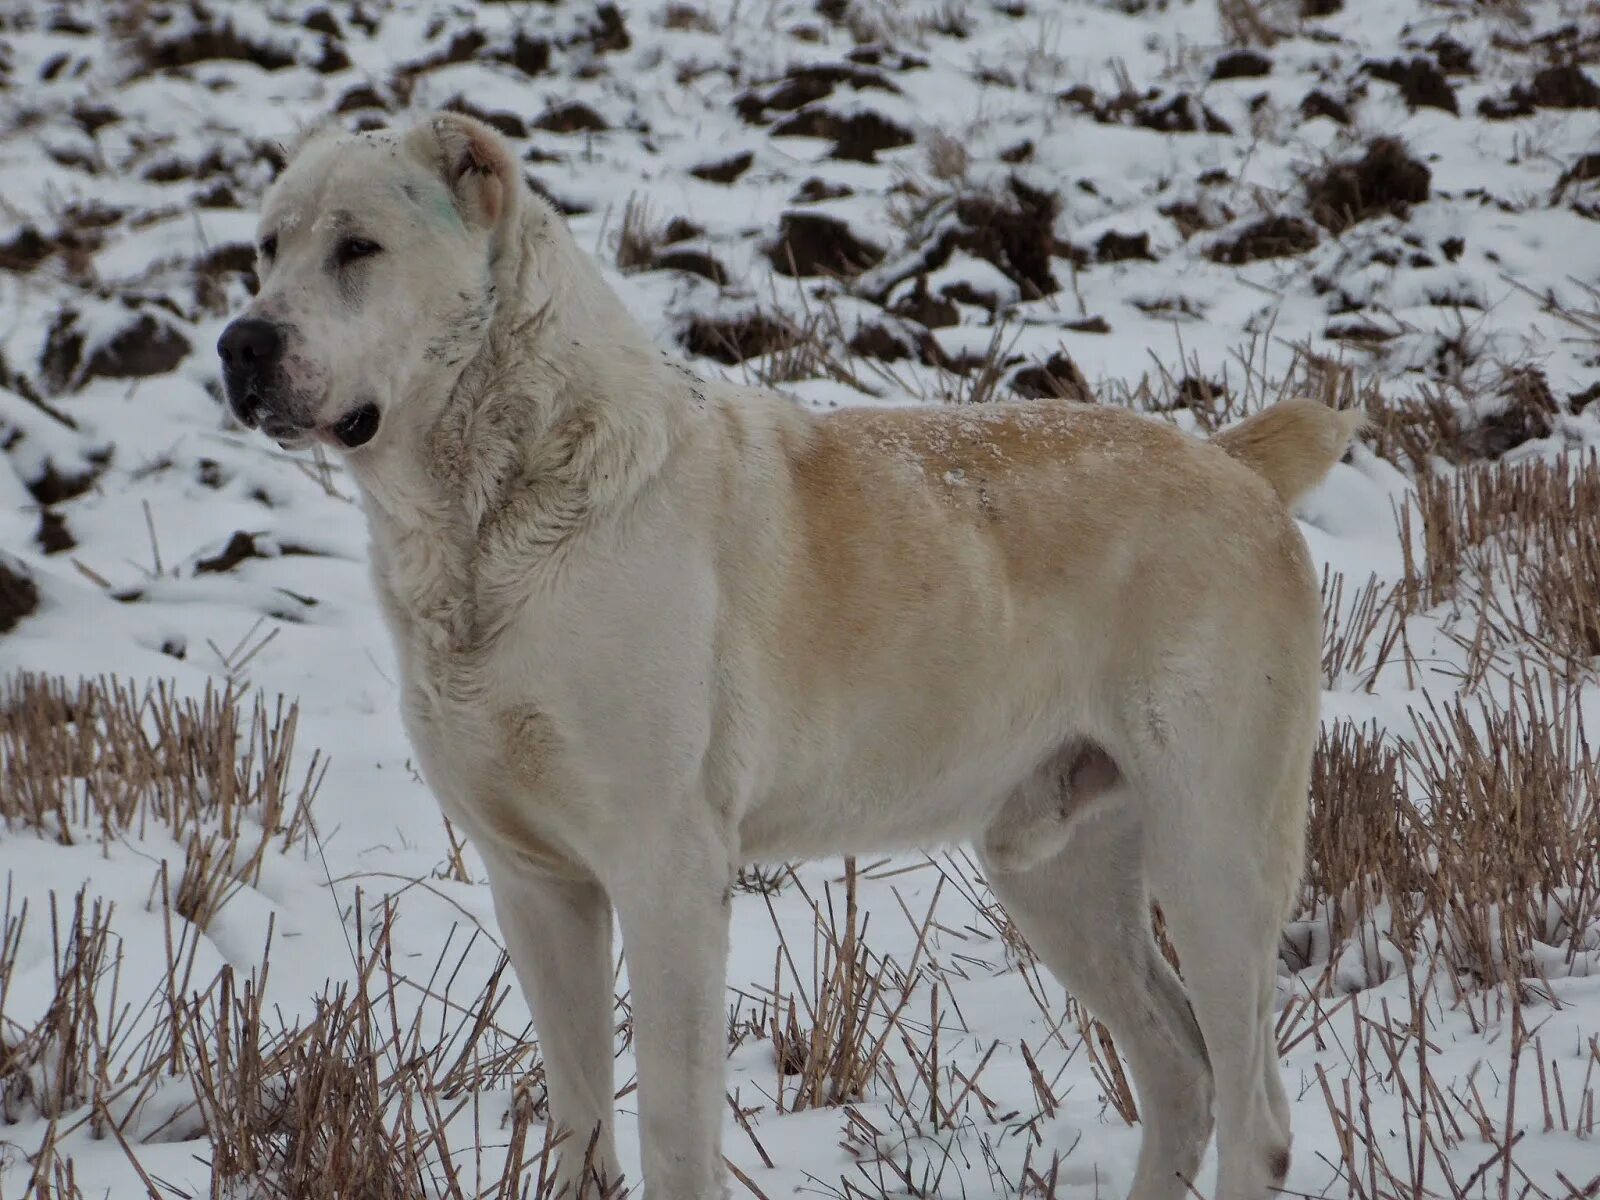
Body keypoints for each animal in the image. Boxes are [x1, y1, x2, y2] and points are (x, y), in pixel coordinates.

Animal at [219, 112, 1356, 1200]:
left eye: (358, 247)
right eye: (266, 250)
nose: (240, 345)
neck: (492, 509)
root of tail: (1231, 464)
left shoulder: (669, 873)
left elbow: (675, 1134)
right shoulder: (537, 884)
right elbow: (581, 1128)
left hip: (1214, 855)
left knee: (1254, 1111)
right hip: (1057, 870)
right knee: (1179, 1071)